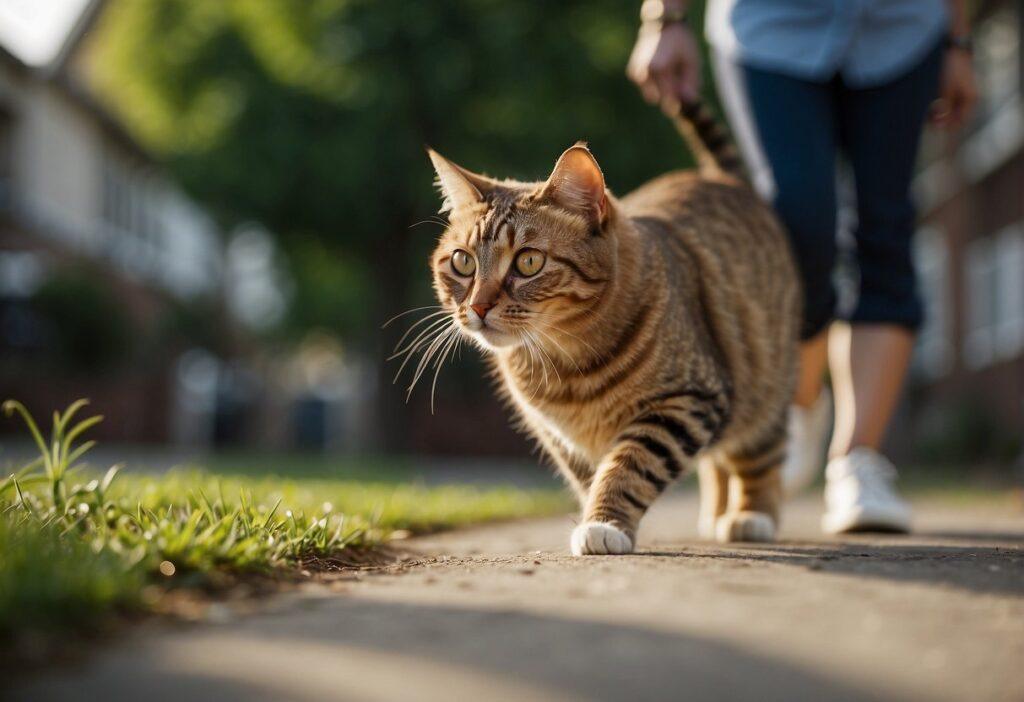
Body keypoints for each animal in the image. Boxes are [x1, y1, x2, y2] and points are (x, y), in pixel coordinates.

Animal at [419, 103, 794, 556]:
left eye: (528, 262)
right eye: (463, 262)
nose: (477, 306)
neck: (566, 359)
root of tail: (723, 180)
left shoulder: (685, 400)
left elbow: (630, 466)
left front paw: (604, 523)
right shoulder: (559, 434)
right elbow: (591, 476)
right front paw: (595, 514)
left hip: (763, 377)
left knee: (759, 452)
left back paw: (752, 514)